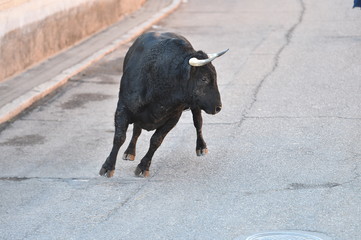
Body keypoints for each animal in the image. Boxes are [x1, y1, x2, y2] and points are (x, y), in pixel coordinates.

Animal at [98, 31, 228, 177]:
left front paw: (143, 167)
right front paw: (108, 166)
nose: (218, 107)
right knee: (136, 130)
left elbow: (156, 140)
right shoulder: (123, 108)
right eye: (204, 78)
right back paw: (129, 152)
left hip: (195, 105)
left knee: (198, 122)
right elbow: (119, 137)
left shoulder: (173, 117)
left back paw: (201, 147)